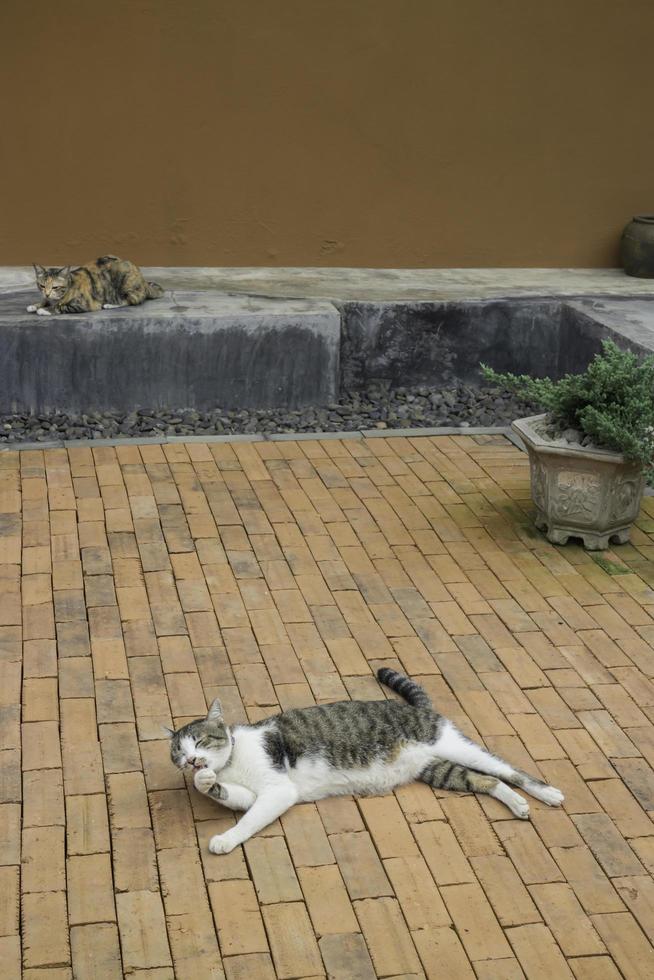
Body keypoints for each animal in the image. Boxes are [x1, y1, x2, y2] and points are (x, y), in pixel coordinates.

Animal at [28, 255, 164, 316]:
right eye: (42, 286)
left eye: (55, 287)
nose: (47, 293)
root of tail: (143, 280)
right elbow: (46, 301)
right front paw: (35, 305)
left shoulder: (83, 304)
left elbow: (60, 306)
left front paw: (44, 309)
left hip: (125, 285)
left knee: (131, 301)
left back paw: (110, 304)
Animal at [168, 668, 564, 852]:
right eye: (179, 754)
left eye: (200, 740)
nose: (193, 762)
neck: (233, 761)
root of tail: (418, 708)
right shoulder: (252, 794)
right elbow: (233, 797)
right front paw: (205, 783)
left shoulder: (278, 791)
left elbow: (249, 821)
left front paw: (226, 838)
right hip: (438, 770)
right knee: (489, 781)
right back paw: (518, 806)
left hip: (455, 747)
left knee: (509, 770)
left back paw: (548, 794)